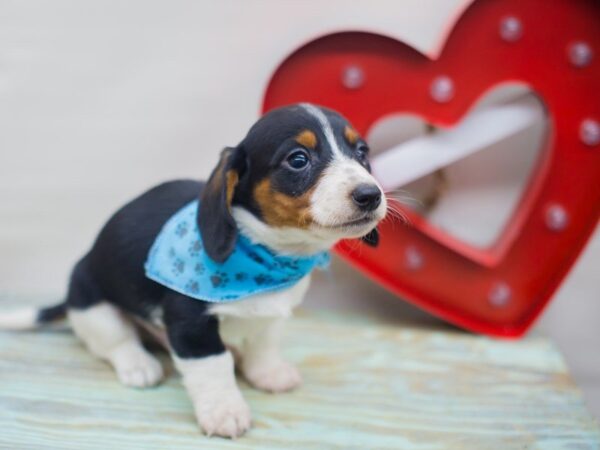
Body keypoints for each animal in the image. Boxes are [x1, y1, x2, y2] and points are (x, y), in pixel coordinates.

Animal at [0, 103, 386, 438]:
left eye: (362, 152)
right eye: (298, 159)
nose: (371, 195)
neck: (272, 254)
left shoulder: (272, 317)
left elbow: (264, 345)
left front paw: (267, 373)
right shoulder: (191, 326)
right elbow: (213, 367)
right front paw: (225, 411)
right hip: (92, 303)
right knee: (114, 340)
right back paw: (138, 364)